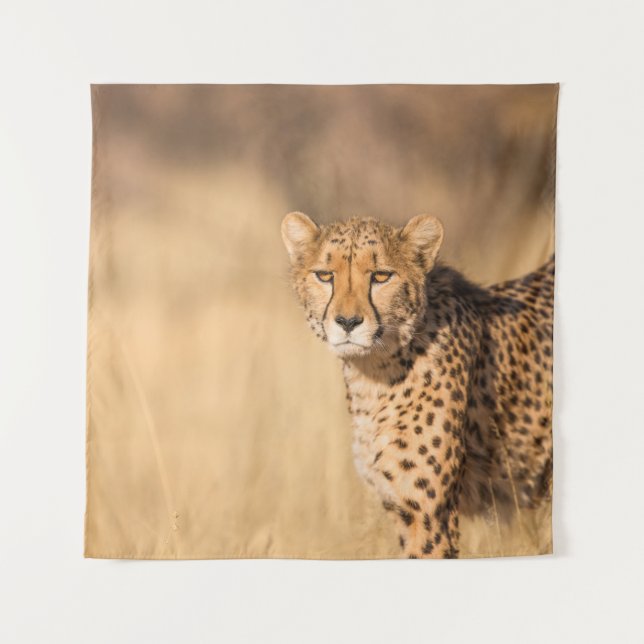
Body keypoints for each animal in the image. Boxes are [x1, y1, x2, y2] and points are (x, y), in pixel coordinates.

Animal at [281, 212, 554, 559]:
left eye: (381, 276)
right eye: (325, 275)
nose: (347, 322)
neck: (373, 374)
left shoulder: (428, 513)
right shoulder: (402, 507)